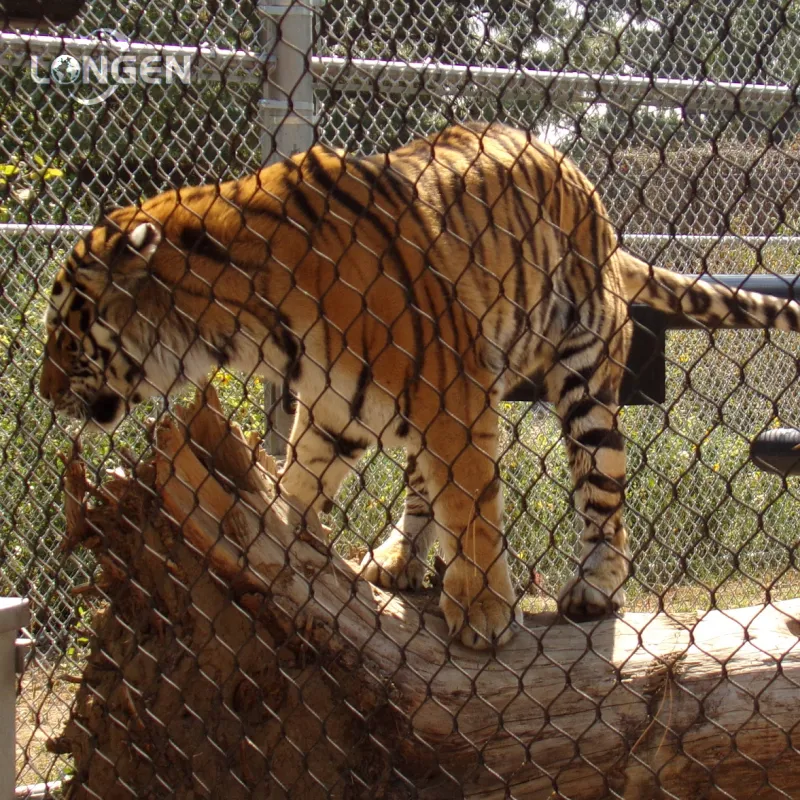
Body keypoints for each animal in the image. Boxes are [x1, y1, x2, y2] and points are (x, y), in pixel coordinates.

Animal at [40, 122, 800, 650]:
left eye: (66, 336)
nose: (46, 392)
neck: (244, 324)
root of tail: (597, 208)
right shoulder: (334, 404)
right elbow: (304, 477)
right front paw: (281, 539)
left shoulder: (454, 394)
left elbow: (471, 505)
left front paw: (483, 612)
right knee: (417, 485)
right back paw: (398, 559)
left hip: (583, 378)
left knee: (602, 491)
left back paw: (595, 585)